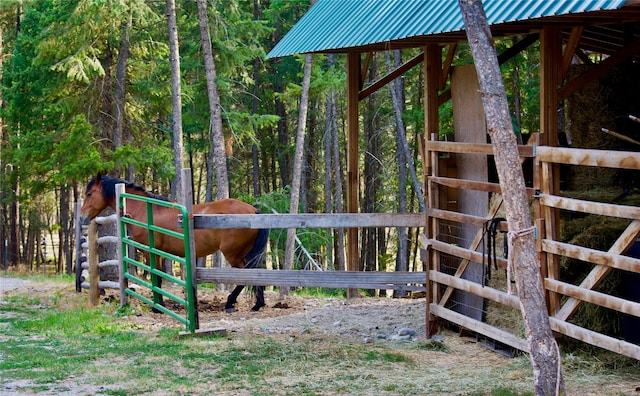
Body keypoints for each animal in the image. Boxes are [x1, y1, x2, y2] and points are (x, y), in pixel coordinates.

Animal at [79, 172, 268, 312]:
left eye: (89, 194)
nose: (82, 218)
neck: (145, 208)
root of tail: (254, 211)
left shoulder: (150, 251)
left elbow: (156, 277)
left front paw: (157, 307)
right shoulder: (160, 253)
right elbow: (159, 277)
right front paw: (160, 304)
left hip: (233, 255)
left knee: (246, 277)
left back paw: (230, 302)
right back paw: (257, 304)